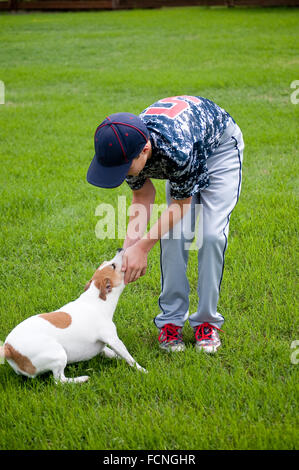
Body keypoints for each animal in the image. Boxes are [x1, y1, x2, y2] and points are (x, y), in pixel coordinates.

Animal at [0, 248, 147, 384]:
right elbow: (129, 357)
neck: (96, 298)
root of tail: (8, 348)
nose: (120, 249)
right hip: (58, 354)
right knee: (60, 381)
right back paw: (81, 379)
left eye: (107, 263)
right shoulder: (113, 339)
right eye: (113, 265)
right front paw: (142, 370)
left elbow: (113, 353)